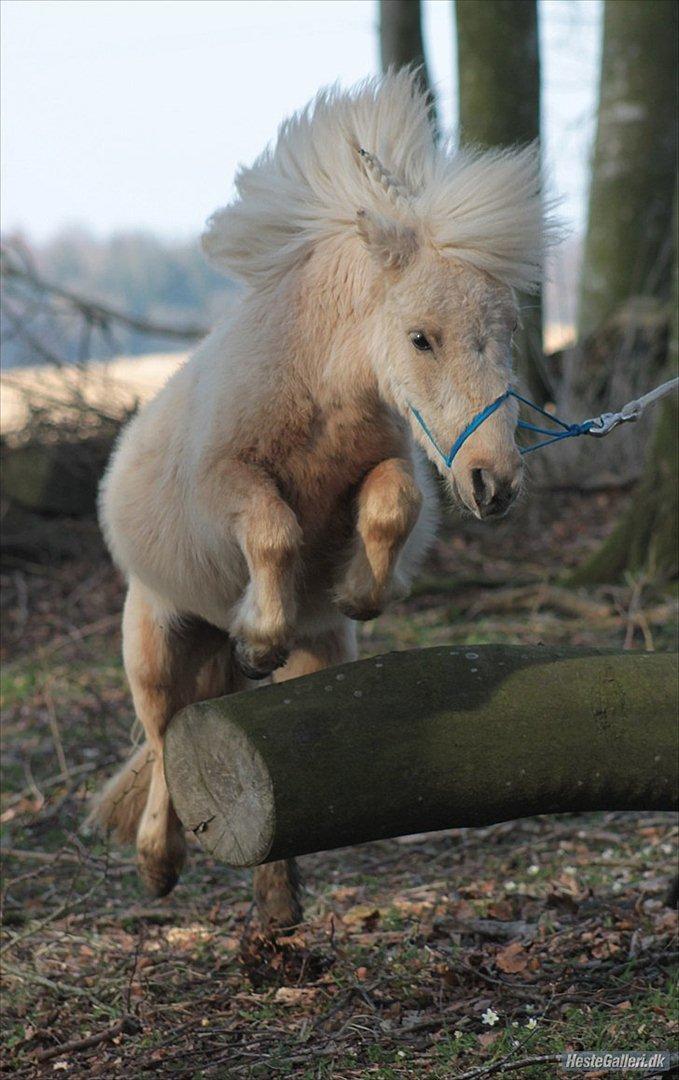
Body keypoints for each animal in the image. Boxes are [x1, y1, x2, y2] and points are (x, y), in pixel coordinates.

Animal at [92, 69, 552, 928]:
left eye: (505, 330)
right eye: (420, 337)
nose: (494, 482)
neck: (314, 386)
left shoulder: (384, 462)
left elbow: (392, 505)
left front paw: (355, 591)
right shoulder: (227, 480)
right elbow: (272, 528)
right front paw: (260, 633)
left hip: (315, 667)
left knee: (276, 769)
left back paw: (278, 901)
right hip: (153, 641)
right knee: (165, 735)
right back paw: (158, 862)